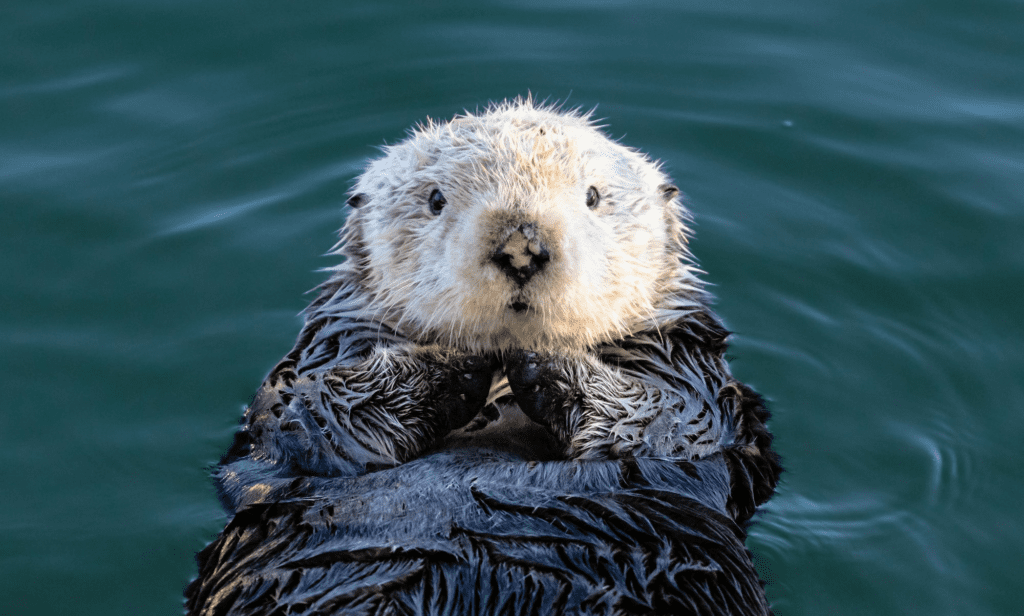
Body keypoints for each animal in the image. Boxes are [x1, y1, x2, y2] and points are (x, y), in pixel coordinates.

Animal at [184, 98, 778, 609]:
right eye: (435, 200)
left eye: (593, 196)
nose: (522, 247)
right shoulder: (310, 378)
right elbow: (310, 415)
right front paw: (458, 363)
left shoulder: (699, 387)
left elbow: (669, 421)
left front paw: (541, 363)